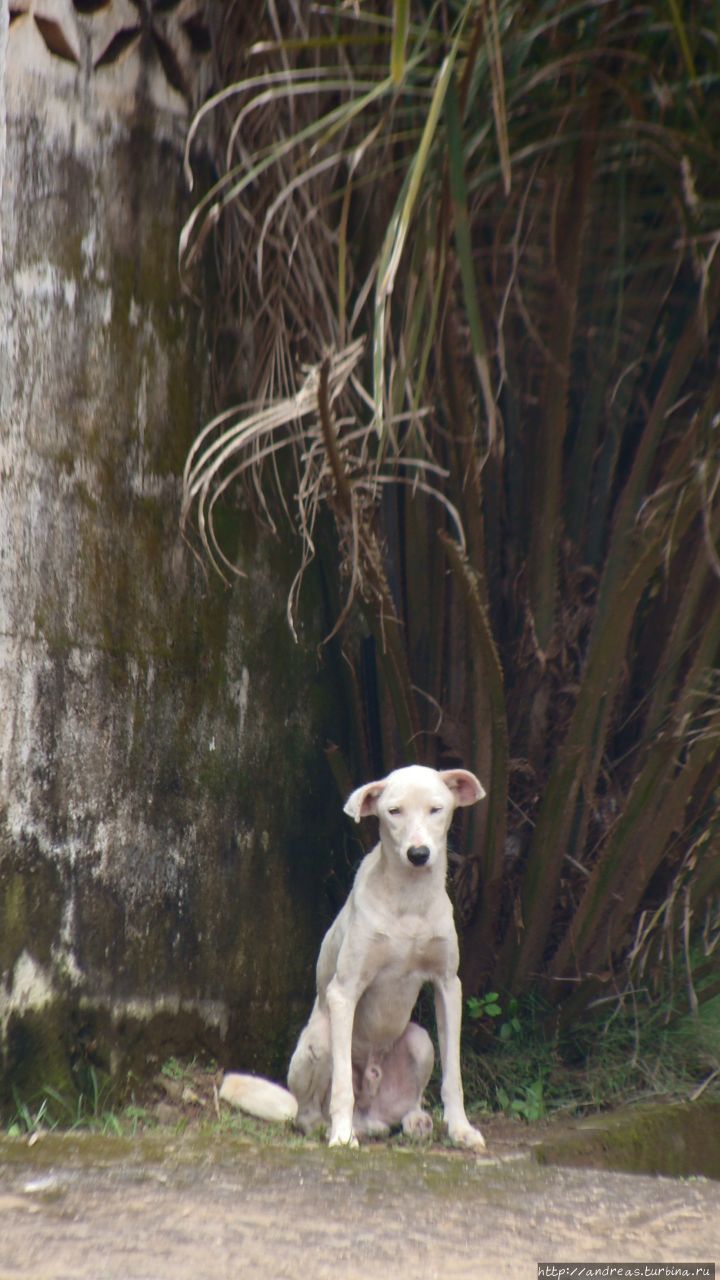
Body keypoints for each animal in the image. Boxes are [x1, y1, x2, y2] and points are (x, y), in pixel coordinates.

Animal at [221, 757, 484, 1152]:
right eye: (394, 811)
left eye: (437, 809)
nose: (418, 855)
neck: (409, 899)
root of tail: (369, 1112)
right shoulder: (344, 991)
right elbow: (343, 1084)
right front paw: (342, 1137)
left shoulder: (448, 985)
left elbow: (453, 1076)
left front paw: (461, 1130)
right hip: (320, 1040)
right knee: (308, 1113)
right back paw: (334, 1127)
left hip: (420, 1041)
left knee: (404, 1104)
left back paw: (414, 1121)